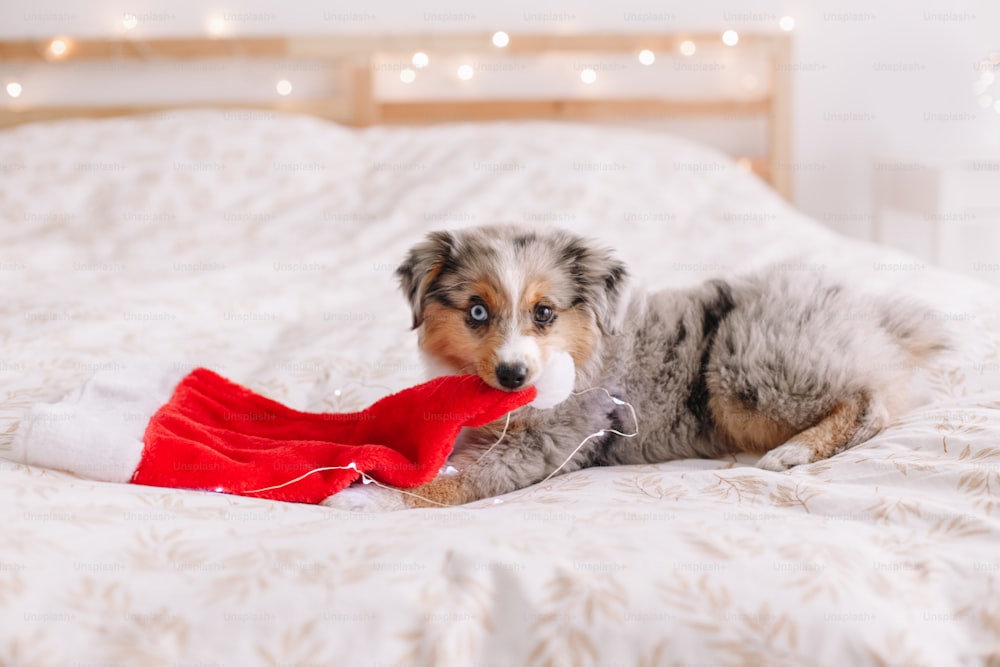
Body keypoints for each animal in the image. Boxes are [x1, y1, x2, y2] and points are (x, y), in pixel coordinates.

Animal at [326, 226, 944, 512]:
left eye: (544, 313)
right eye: (476, 312)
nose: (512, 376)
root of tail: (873, 318)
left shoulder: (549, 446)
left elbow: (453, 482)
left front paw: (362, 498)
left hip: (748, 370)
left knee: (868, 403)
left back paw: (791, 452)